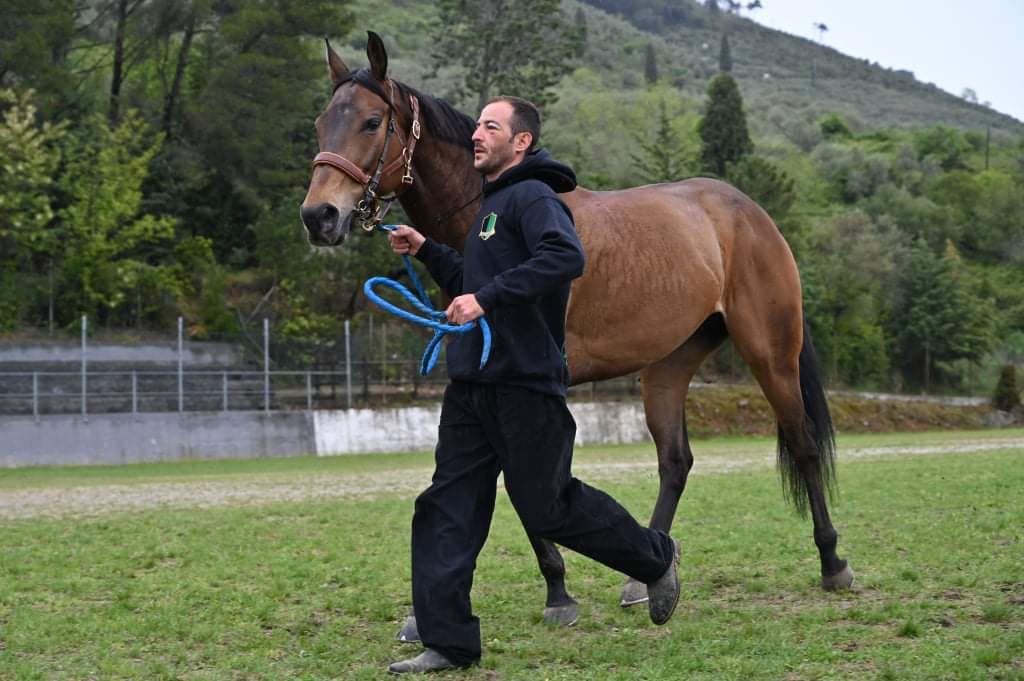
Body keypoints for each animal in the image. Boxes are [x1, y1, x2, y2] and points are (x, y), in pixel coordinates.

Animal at [299, 34, 851, 634]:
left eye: (372, 121)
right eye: (321, 123)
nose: (318, 216)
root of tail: (750, 213)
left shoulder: (531, 389)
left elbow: (530, 486)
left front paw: (558, 591)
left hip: (771, 353)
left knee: (802, 445)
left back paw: (832, 562)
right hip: (667, 365)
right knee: (675, 461)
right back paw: (646, 576)